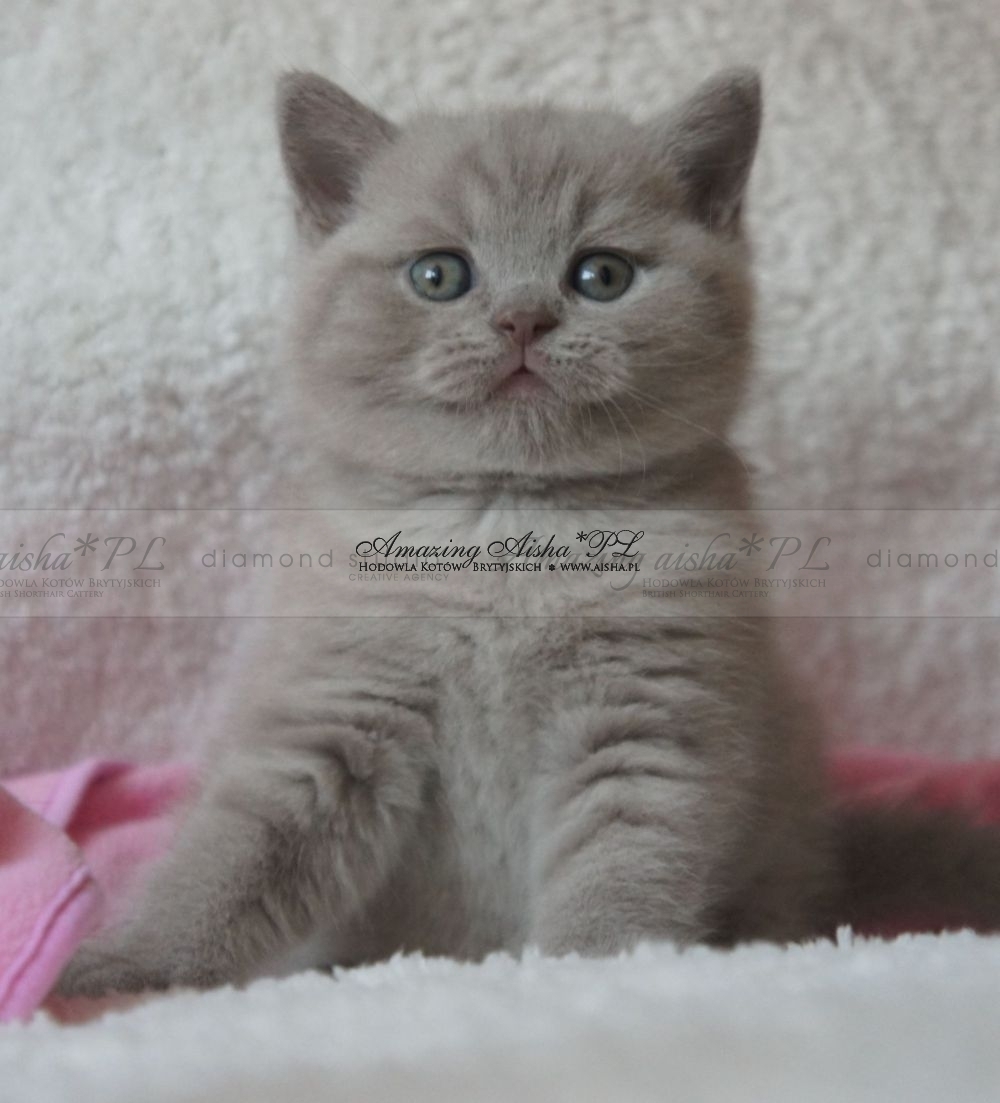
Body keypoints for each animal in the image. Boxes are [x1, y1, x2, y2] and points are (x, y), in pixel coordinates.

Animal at [56, 67, 999, 998]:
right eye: (439, 274)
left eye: (602, 275)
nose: (522, 318)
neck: (508, 529)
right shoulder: (338, 695)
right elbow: (236, 851)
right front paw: (129, 965)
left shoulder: (647, 709)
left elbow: (625, 860)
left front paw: (591, 976)